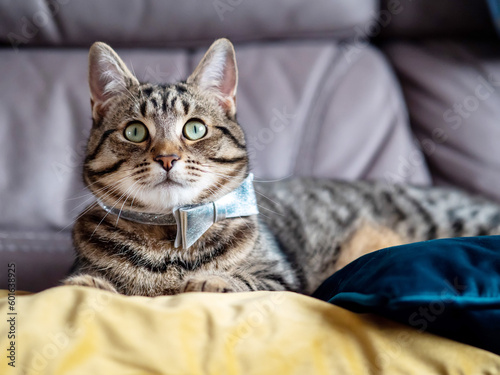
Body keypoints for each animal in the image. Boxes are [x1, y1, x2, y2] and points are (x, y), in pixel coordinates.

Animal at [64, 38, 500, 296]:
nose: (167, 157)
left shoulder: (282, 280)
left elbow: (242, 280)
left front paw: (206, 280)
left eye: (194, 128)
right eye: (136, 131)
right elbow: (87, 284)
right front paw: (87, 285)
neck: (173, 238)